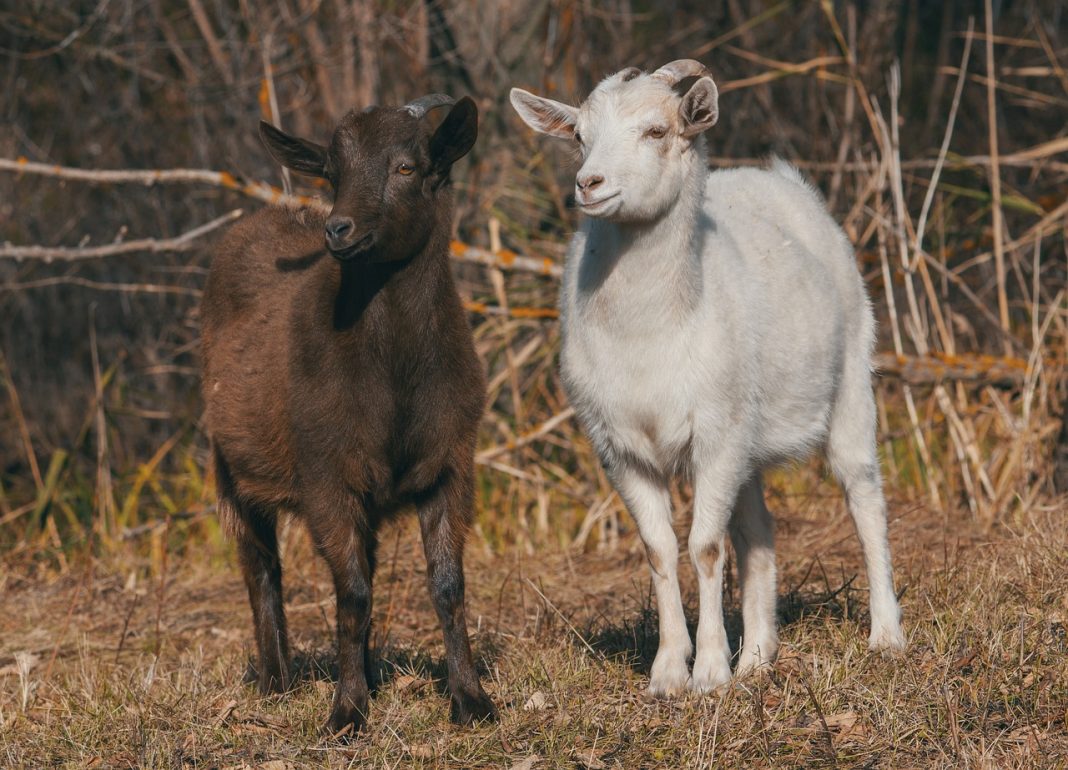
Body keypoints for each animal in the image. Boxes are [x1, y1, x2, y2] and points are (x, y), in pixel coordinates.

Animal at [200, 96, 495, 734]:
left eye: (407, 167)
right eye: (332, 173)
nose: (339, 229)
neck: (395, 377)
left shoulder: (449, 464)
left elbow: (447, 585)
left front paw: (471, 700)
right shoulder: (326, 475)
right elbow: (351, 593)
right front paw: (347, 713)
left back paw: (368, 673)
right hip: (231, 468)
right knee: (261, 567)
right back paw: (277, 680)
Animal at [512, 61, 905, 696]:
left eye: (656, 130)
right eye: (579, 136)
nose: (589, 184)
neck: (650, 332)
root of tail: (782, 180)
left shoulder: (715, 438)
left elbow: (705, 548)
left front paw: (711, 672)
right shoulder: (621, 447)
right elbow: (660, 549)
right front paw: (670, 672)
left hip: (849, 385)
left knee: (864, 497)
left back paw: (886, 636)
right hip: (749, 432)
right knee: (759, 530)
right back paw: (760, 656)